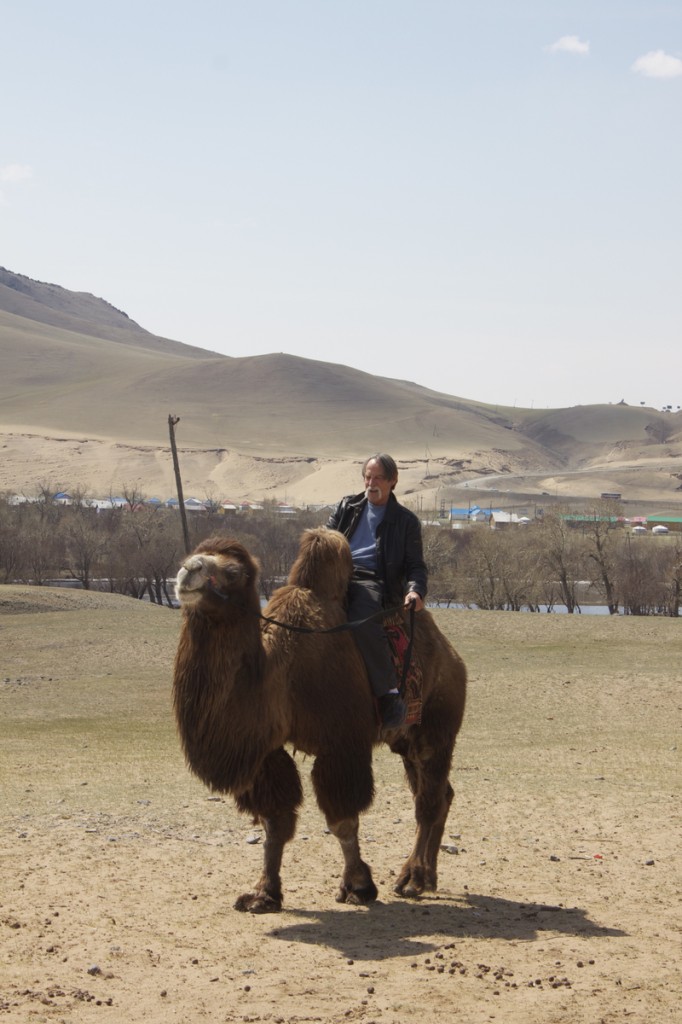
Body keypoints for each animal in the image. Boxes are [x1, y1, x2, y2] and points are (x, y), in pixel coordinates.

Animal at [173, 528, 464, 913]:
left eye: (232, 571)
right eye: (192, 554)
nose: (187, 570)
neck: (282, 670)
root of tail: (452, 656)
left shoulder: (341, 744)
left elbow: (342, 820)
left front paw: (358, 886)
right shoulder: (266, 752)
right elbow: (275, 821)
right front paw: (263, 893)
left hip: (438, 726)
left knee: (426, 803)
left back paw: (412, 879)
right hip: (405, 741)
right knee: (441, 793)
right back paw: (428, 877)